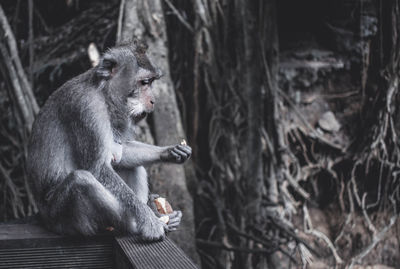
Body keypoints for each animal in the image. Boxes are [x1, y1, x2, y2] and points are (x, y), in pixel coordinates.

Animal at [26, 42, 192, 241]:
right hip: (62, 219)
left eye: (152, 82)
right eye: (144, 82)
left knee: (133, 167)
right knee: (81, 180)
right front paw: (148, 219)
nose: (153, 101)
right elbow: (98, 168)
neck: (102, 93)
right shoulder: (87, 109)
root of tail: (43, 217)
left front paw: (170, 152)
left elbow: (121, 154)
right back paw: (136, 223)